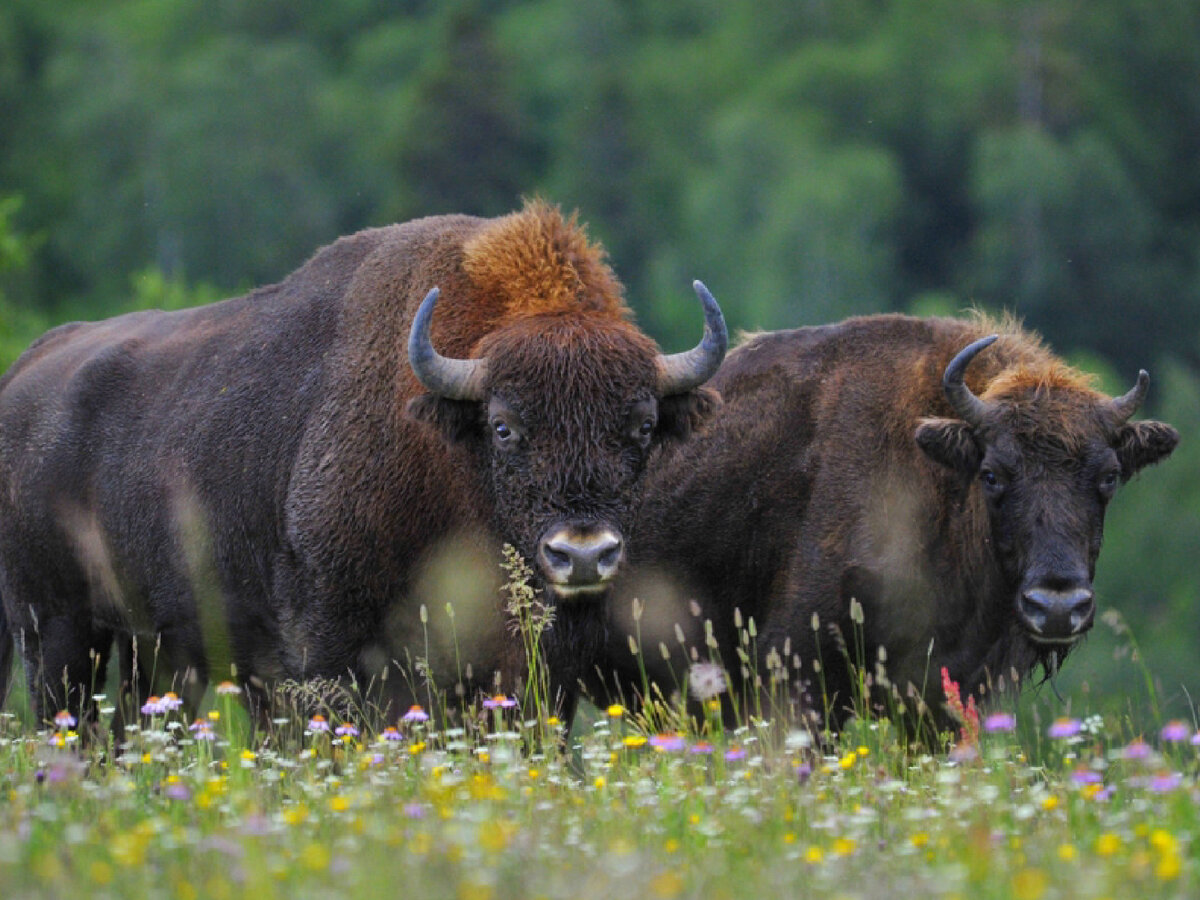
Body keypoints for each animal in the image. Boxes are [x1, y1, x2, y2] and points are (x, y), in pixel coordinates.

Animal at [0, 200, 724, 729]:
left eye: (642, 427)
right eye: (504, 427)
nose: (582, 554)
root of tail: (27, 371)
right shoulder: (327, 644)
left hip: (146, 649)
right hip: (56, 633)